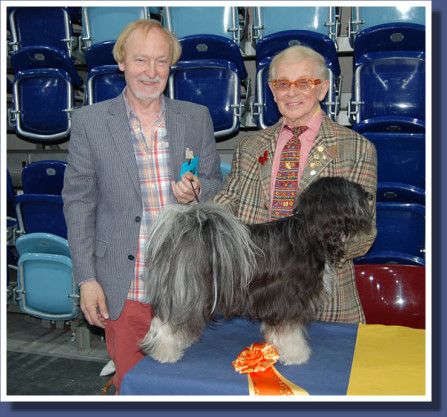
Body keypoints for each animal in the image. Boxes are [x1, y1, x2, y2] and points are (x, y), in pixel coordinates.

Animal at [141, 176, 374, 364]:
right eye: (351, 191)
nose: (371, 195)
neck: (307, 235)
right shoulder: (287, 298)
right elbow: (289, 332)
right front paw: (296, 355)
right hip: (186, 289)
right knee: (165, 321)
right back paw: (164, 352)